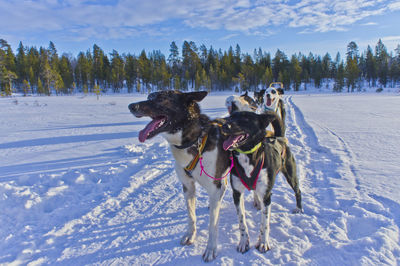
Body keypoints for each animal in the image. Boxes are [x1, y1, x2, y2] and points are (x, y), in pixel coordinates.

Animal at [128, 90, 231, 260]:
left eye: (162, 98)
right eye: (149, 96)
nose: (131, 106)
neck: (194, 141)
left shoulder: (214, 186)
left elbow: (212, 225)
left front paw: (210, 248)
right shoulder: (188, 186)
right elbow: (191, 216)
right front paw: (190, 235)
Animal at [220, 111, 302, 254]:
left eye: (245, 118)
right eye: (230, 117)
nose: (224, 126)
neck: (247, 155)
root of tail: (279, 138)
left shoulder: (266, 195)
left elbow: (265, 224)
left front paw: (263, 243)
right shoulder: (237, 194)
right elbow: (242, 222)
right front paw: (244, 242)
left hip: (291, 175)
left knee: (298, 191)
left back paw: (299, 208)